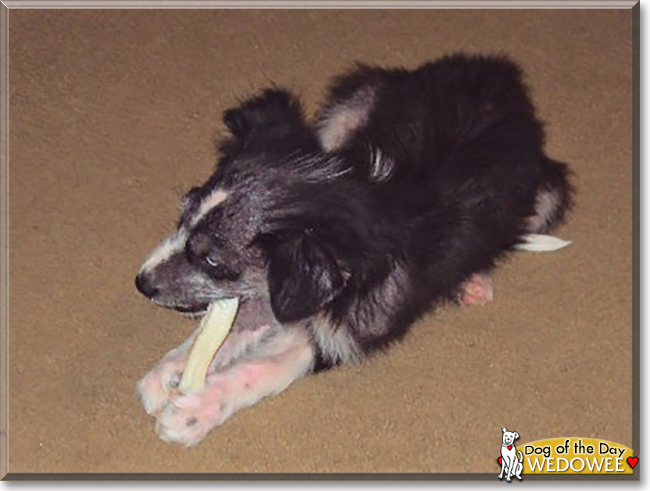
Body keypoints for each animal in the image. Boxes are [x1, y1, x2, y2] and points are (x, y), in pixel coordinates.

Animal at [134, 52, 568, 446]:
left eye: (211, 259)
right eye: (183, 214)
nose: (141, 282)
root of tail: (503, 72)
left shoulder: (350, 329)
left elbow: (263, 368)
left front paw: (192, 414)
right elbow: (237, 323)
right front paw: (168, 372)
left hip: (548, 195)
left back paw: (473, 280)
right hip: (352, 100)